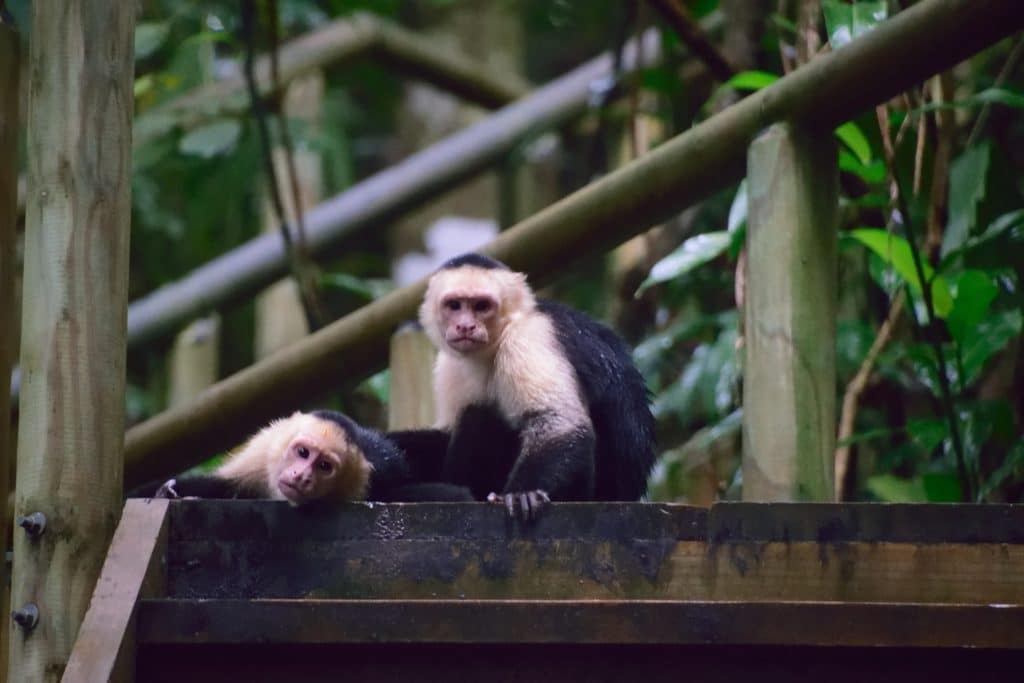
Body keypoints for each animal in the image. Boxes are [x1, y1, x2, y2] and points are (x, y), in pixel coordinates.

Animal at [129, 409, 475, 505]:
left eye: (323, 466)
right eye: (302, 453)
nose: (301, 476)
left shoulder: (367, 481)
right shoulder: (260, 454)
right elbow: (223, 487)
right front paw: (165, 492)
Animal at [387, 253, 659, 520]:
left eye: (481, 306)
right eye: (454, 305)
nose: (465, 326)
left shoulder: (528, 337)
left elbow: (559, 421)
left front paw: (523, 493)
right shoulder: (451, 362)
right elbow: (447, 432)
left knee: (482, 413)